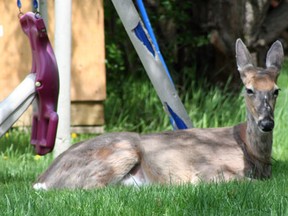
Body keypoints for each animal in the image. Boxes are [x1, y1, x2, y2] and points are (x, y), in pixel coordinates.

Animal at [33, 38, 284, 189]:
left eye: (276, 90)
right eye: (249, 89)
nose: (267, 123)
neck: (251, 152)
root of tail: (43, 178)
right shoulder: (208, 170)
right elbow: (248, 181)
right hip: (121, 150)